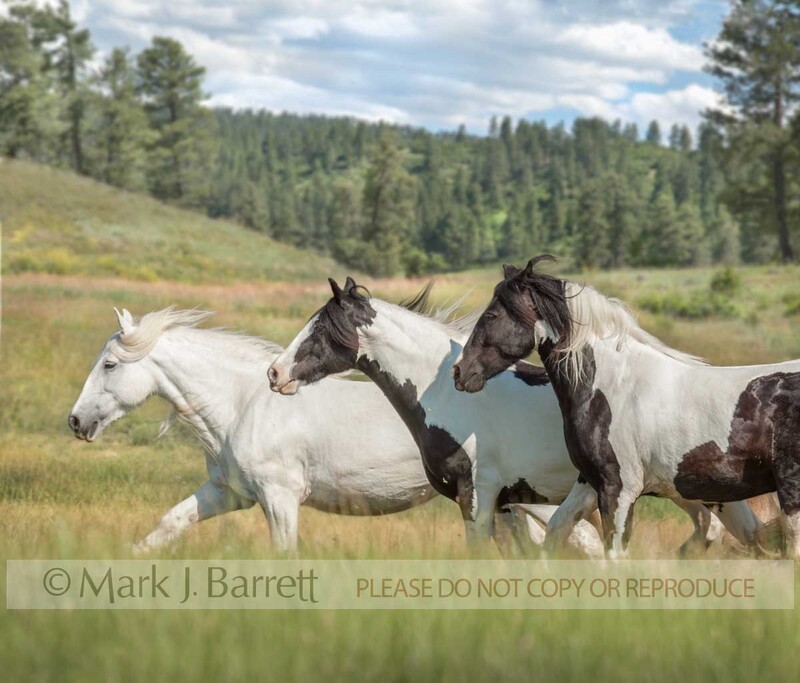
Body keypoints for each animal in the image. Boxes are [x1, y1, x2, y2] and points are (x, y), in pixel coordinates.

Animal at [453, 256, 790, 558]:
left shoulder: (619, 489)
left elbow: (615, 553)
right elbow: (557, 531)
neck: (614, 387)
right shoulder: (591, 481)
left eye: (492, 315)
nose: (459, 372)